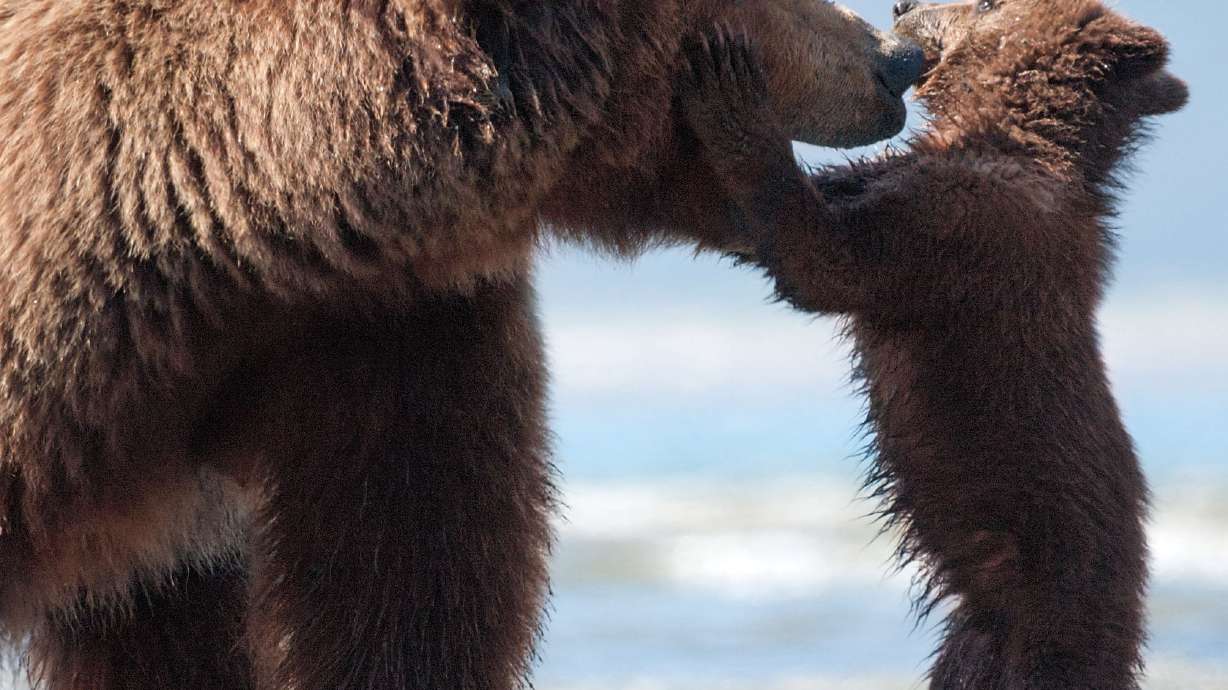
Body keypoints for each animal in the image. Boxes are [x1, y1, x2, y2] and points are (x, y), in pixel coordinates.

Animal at [678, 0, 1187, 687]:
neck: (1013, 132)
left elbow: (826, 260)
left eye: (986, 3)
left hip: (1053, 605)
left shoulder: (965, 232)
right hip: (977, 642)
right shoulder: (911, 182)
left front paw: (733, 91)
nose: (902, 6)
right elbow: (826, 201)